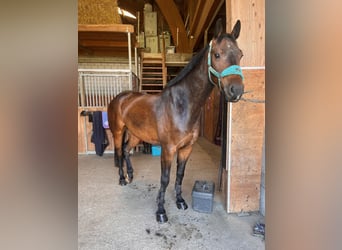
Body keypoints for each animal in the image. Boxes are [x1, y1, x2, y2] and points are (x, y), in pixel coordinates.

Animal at [108, 19, 244, 223]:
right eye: (217, 54)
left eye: (241, 55)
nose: (236, 91)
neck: (181, 105)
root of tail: (121, 97)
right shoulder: (168, 149)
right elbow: (165, 179)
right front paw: (161, 211)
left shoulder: (186, 148)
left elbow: (180, 175)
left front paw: (180, 201)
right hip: (117, 131)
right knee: (118, 151)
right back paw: (122, 179)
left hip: (136, 134)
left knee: (125, 150)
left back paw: (130, 176)